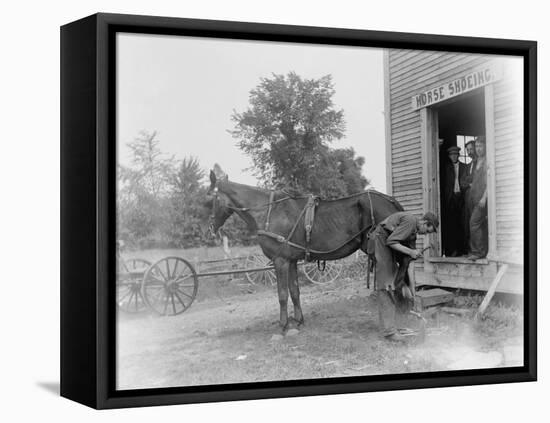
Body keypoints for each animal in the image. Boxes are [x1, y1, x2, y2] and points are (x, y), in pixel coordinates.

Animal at [207, 171, 406, 332]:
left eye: (208, 199)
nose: (211, 228)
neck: (269, 211)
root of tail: (390, 200)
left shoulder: (280, 261)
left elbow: (282, 294)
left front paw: (284, 325)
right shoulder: (291, 261)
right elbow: (294, 291)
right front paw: (299, 320)